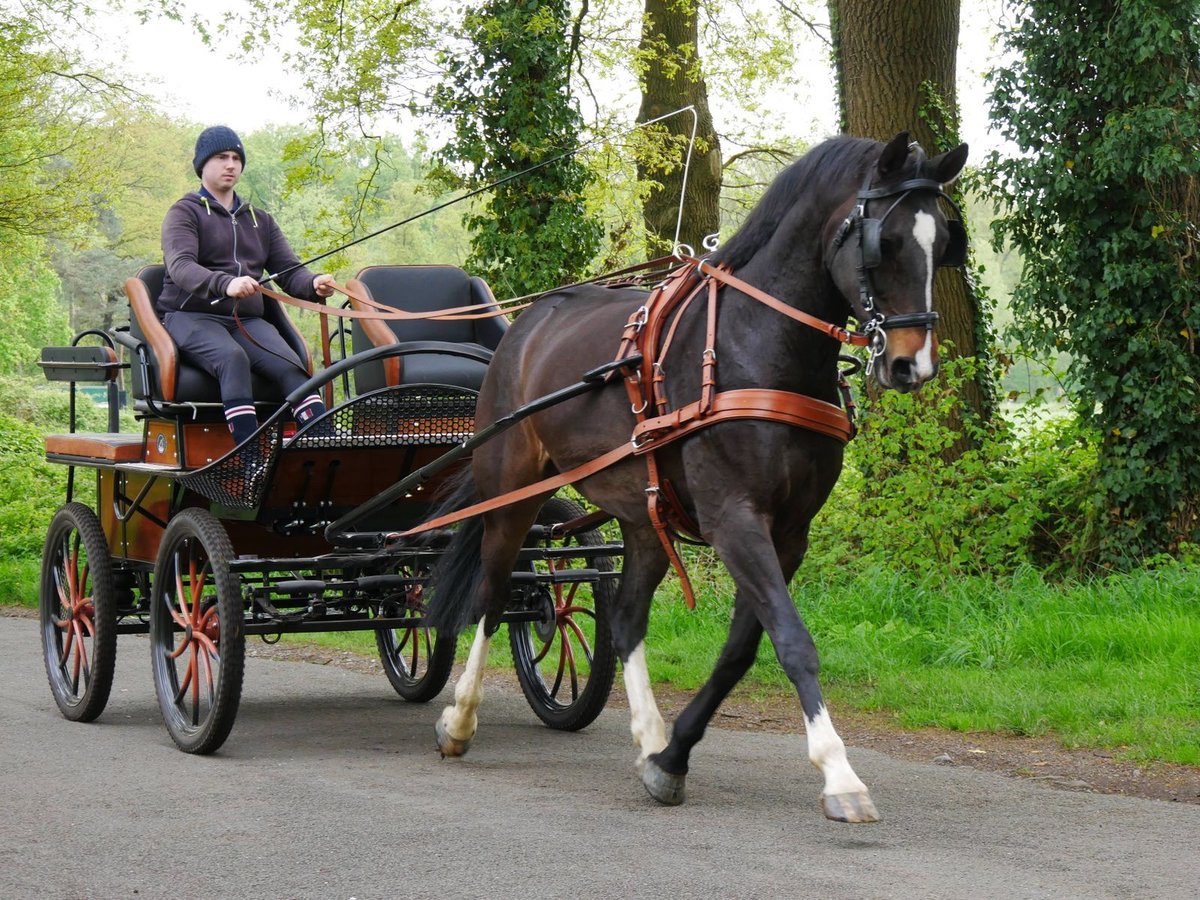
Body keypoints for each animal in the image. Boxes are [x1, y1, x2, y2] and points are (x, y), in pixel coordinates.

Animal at [427, 133, 969, 825]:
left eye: (944, 240)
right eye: (887, 241)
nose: (911, 365)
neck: (757, 348)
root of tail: (528, 321)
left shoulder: (788, 534)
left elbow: (741, 649)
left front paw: (671, 757)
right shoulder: (734, 518)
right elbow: (793, 640)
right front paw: (839, 774)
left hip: (643, 516)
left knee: (626, 617)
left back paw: (649, 734)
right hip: (512, 490)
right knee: (493, 596)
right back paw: (460, 721)